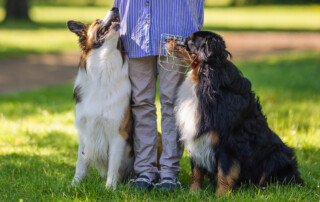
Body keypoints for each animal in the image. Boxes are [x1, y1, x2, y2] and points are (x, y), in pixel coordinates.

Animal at [67, 7, 133, 189]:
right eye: (97, 22)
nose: (115, 8)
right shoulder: (84, 130)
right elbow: (80, 162)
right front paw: (75, 184)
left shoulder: (118, 133)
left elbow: (113, 164)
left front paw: (110, 188)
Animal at [172, 31, 302, 196]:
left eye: (190, 40)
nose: (170, 38)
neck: (205, 79)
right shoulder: (197, 136)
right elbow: (196, 171)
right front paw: (193, 193)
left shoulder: (227, 141)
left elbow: (224, 171)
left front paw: (221, 195)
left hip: (276, 155)